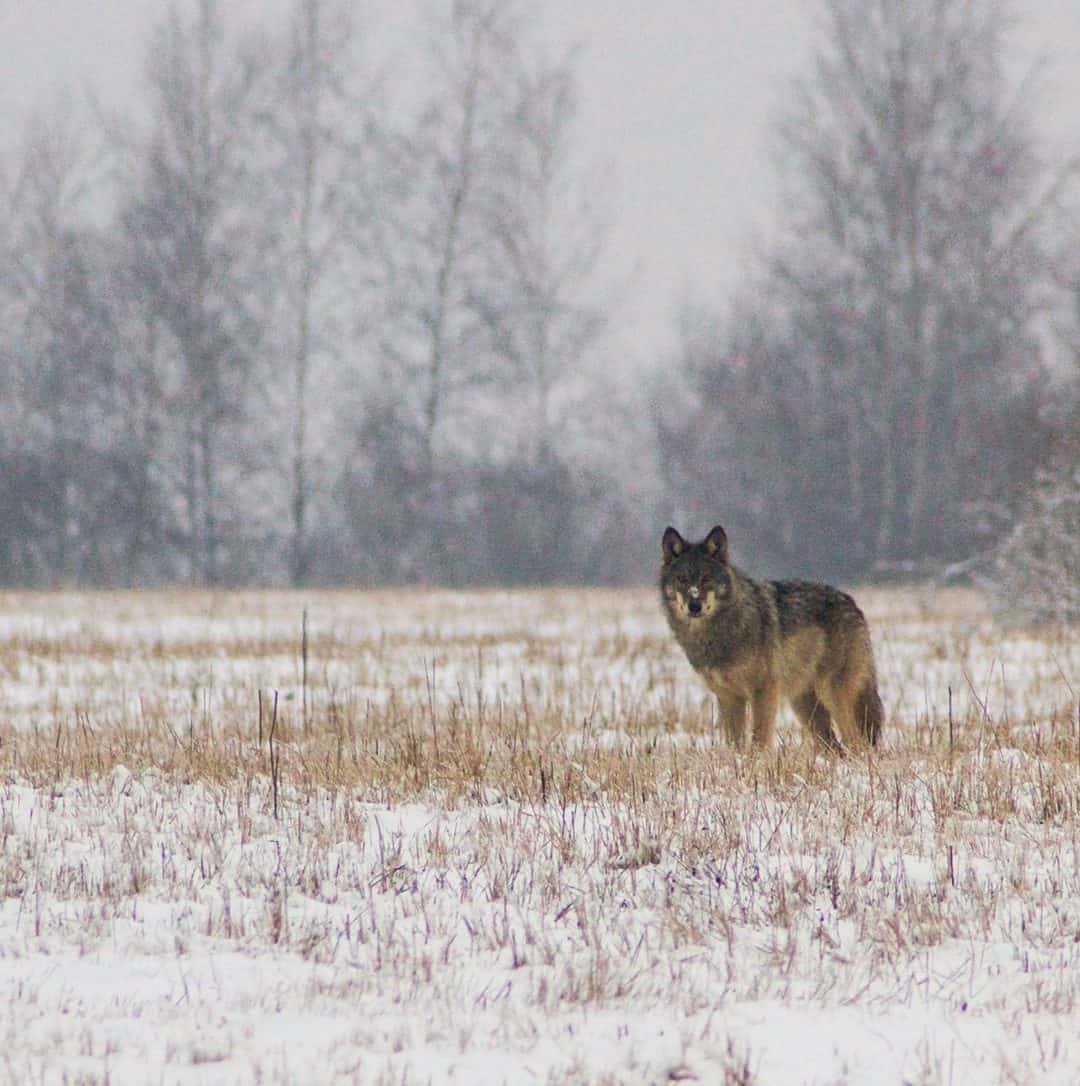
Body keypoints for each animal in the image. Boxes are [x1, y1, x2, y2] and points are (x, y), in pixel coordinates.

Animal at [660, 524, 883, 753]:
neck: (718, 633)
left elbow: (759, 737)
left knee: (856, 741)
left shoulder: (764, 690)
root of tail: (852, 603)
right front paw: (736, 761)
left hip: (832, 695)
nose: (694, 606)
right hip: (805, 707)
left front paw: (756, 759)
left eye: (706, 579)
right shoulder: (729, 698)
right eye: (682, 579)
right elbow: (734, 743)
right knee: (835, 748)